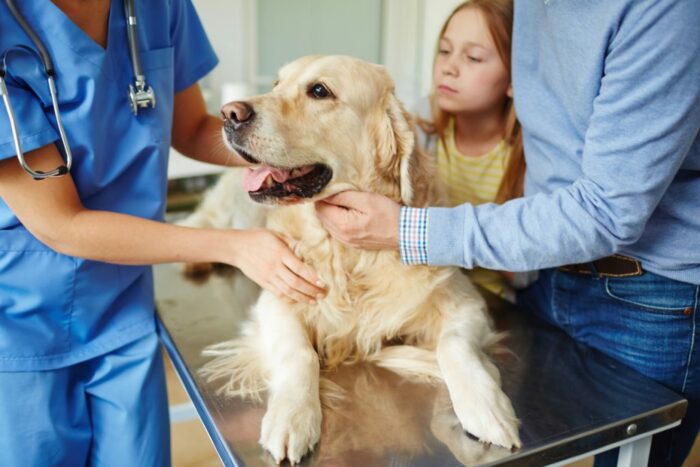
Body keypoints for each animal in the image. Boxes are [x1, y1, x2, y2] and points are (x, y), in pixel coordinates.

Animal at [185, 54, 520, 464]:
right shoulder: (277, 297)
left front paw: (487, 409)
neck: (349, 256)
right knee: (200, 221)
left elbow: (454, 345)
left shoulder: (465, 301)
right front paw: (293, 417)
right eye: (278, 83)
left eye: (319, 90)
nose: (229, 114)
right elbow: (300, 353)